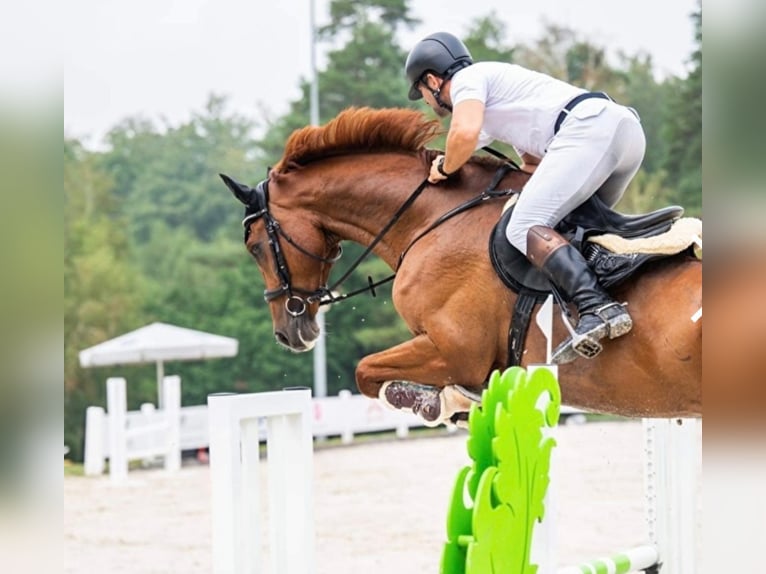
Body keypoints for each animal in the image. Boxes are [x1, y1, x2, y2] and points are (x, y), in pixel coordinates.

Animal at [220, 108, 704, 428]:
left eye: (256, 245)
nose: (290, 333)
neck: (431, 218)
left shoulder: (455, 348)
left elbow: (367, 372)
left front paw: (438, 402)